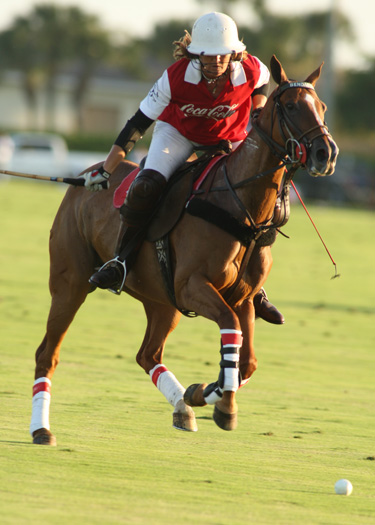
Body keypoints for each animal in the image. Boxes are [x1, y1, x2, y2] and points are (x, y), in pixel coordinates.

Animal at [30, 56, 340, 442]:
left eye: (323, 106)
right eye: (292, 106)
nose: (326, 153)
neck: (242, 208)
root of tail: (78, 178)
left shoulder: (242, 298)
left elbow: (246, 361)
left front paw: (204, 393)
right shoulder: (194, 286)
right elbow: (230, 333)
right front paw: (221, 405)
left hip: (161, 301)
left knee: (147, 355)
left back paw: (183, 406)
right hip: (70, 284)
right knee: (47, 353)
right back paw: (41, 429)